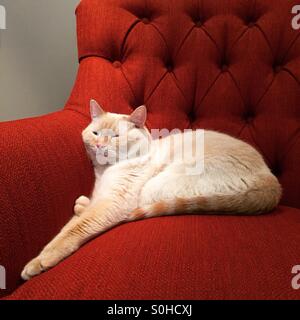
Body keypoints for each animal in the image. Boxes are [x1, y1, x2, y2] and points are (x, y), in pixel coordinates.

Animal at [21, 99, 282, 280]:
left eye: (115, 136)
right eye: (95, 133)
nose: (99, 145)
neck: (106, 171)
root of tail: (272, 182)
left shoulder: (112, 202)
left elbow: (74, 230)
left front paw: (39, 262)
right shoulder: (100, 196)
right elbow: (71, 222)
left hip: (155, 187)